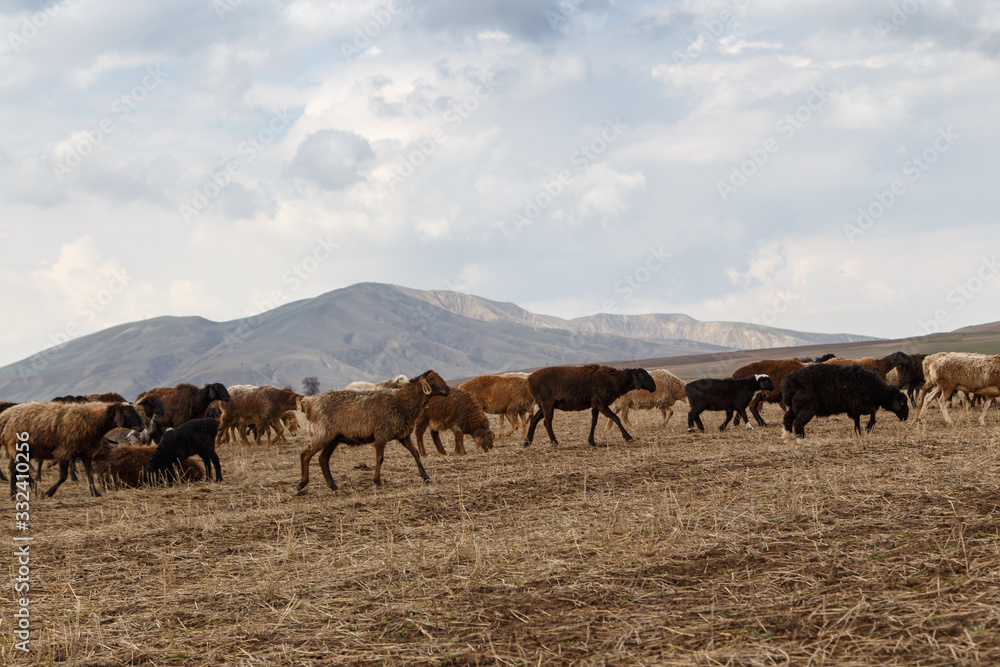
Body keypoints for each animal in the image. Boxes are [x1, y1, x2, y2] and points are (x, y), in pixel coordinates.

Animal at [0, 400, 145, 498]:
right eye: (128, 412)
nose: (142, 427)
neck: (94, 420)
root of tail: (8, 415)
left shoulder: (86, 452)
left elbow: (89, 473)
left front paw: (95, 492)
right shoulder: (64, 451)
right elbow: (63, 476)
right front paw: (49, 492)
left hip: (24, 450)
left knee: (14, 468)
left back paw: (14, 494)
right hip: (22, 448)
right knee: (21, 469)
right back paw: (37, 491)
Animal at [296, 368, 450, 494]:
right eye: (431, 379)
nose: (448, 390)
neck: (401, 401)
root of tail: (309, 403)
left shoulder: (404, 436)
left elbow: (415, 453)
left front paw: (426, 477)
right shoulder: (381, 435)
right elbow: (380, 458)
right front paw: (377, 481)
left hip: (333, 438)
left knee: (323, 459)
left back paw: (333, 486)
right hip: (322, 433)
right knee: (305, 454)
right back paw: (302, 484)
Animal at [520, 366, 660, 448]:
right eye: (642, 376)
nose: (654, 387)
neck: (615, 380)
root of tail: (529, 380)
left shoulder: (596, 404)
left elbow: (594, 421)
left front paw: (591, 441)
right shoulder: (600, 402)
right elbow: (615, 418)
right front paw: (628, 437)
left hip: (545, 404)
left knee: (534, 420)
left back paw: (527, 442)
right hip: (547, 403)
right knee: (547, 422)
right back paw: (555, 442)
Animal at [780, 362, 916, 440]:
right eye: (902, 403)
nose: (906, 417)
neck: (874, 388)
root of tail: (788, 382)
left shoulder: (854, 407)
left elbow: (857, 420)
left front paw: (858, 432)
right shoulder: (861, 404)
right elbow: (872, 412)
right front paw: (868, 427)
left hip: (795, 406)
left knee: (788, 418)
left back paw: (788, 435)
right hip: (806, 407)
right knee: (798, 422)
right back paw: (801, 438)